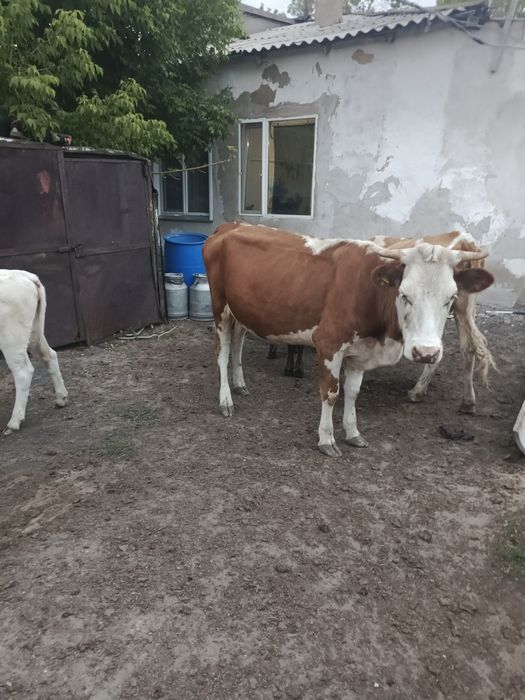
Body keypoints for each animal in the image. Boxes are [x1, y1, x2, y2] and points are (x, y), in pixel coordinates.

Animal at [0, 270, 68, 434]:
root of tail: (26, 276)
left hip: (11, 337)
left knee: (23, 372)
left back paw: (14, 421)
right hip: (33, 331)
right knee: (49, 355)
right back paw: (61, 398)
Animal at [371, 231, 495, 414]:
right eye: (405, 295)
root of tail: (465, 240)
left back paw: (417, 391)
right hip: (464, 309)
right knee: (468, 349)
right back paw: (468, 401)